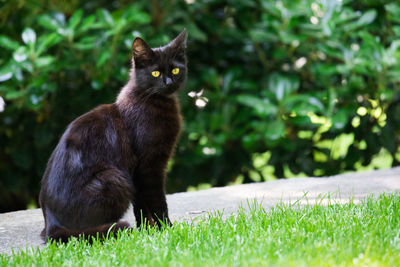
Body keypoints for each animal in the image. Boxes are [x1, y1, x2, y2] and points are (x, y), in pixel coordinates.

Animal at [38, 30, 187, 244]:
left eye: (175, 70)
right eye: (155, 73)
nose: (168, 83)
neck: (154, 102)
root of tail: (50, 222)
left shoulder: (136, 173)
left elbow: (141, 206)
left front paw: (147, 231)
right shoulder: (148, 167)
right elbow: (157, 202)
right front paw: (167, 230)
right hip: (114, 178)